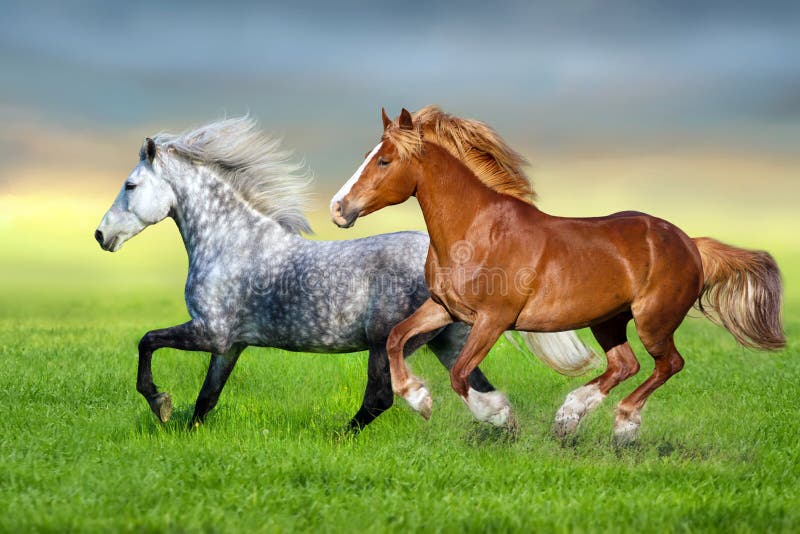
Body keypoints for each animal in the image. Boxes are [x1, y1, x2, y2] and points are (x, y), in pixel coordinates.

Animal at [94, 117, 593, 431]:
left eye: (130, 185)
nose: (101, 235)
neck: (232, 242)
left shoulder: (211, 332)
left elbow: (147, 342)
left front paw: (160, 405)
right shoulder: (230, 344)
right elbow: (206, 398)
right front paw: (182, 429)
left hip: (386, 341)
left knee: (381, 398)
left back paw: (338, 435)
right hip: (447, 342)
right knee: (486, 393)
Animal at [330, 106, 786, 444]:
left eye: (384, 160)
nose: (338, 208)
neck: (476, 231)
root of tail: (690, 242)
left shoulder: (493, 319)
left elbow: (460, 374)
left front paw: (498, 415)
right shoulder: (445, 308)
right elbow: (395, 339)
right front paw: (420, 399)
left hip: (653, 321)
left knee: (668, 364)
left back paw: (623, 425)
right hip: (608, 320)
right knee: (624, 365)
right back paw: (568, 417)